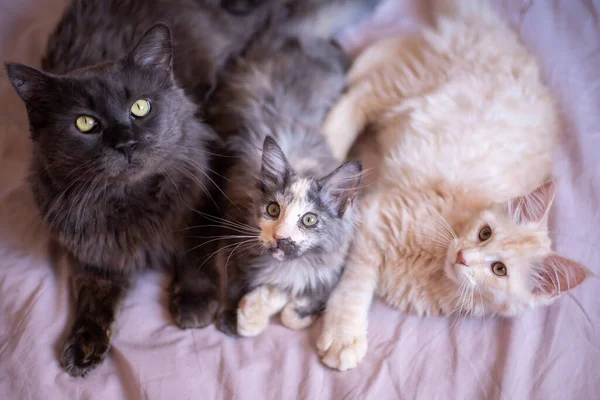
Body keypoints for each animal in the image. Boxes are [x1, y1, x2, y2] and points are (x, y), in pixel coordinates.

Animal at [2, 0, 276, 376]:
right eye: (85, 123)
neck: (131, 199)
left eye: (140, 107)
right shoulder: (93, 250)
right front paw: (84, 342)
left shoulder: (213, 180)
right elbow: (94, 294)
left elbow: (196, 245)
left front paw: (194, 299)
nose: (125, 143)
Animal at [205, 26, 366, 336]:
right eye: (272, 210)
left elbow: (300, 303)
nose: (279, 237)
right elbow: (234, 285)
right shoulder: (232, 236)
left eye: (309, 220)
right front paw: (237, 317)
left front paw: (288, 305)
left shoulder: (336, 264)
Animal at [316, 0, 588, 370]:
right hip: (418, 84)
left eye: (499, 269)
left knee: (395, 53)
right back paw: (331, 136)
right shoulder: (378, 216)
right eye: (485, 233)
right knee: (364, 92)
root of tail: (506, 43)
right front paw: (344, 334)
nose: (462, 256)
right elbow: (354, 285)